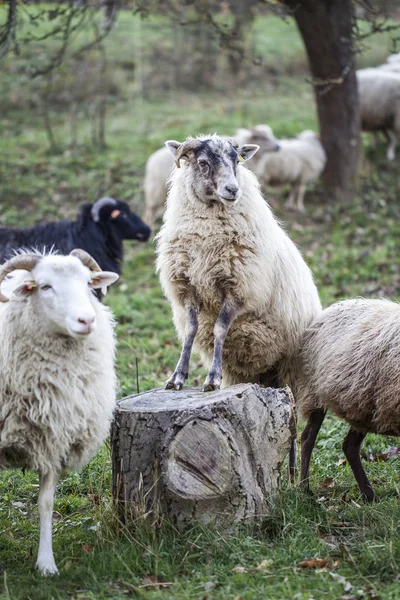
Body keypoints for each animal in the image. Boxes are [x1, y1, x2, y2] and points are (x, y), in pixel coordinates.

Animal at [0, 250, 119, 576]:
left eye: (88, 283)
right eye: (45, 286)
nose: (87, 320)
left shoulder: (54, 435)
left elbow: (46, 503)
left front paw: (46, 563)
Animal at [156, 134, 322, 396]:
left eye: (236, 160)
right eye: (202, 162)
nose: (233, 189)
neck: (205, 234)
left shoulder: (239, 287)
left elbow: (219, 330)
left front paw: (212, 379)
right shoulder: (187, 285)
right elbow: (191, 330)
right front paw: (177, 377)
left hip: (292, 367)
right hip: (244, 369)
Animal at [294, 298, 400, 502]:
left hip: (362, 407)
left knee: (349, 446)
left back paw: (368, 494)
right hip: (315, 391)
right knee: (308, 438)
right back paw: (304, 488)